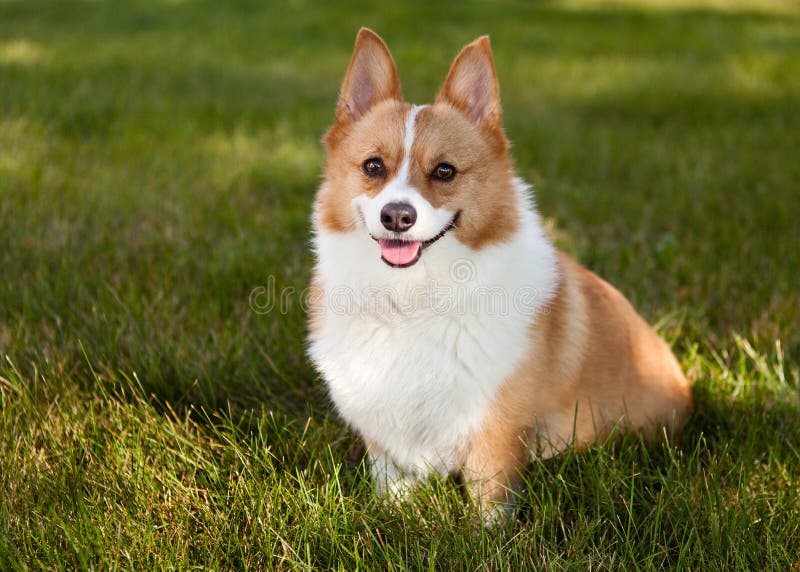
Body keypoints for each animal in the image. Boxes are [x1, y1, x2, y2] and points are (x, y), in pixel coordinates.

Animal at [308, 27, 692, 524]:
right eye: (374, 166)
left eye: (445, 171)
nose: (397, 216)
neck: (413, 299)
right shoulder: (384, 433)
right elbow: (392, 479)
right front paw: (396, 512)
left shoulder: (495, 429)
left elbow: (489, 502)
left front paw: (486, 536)